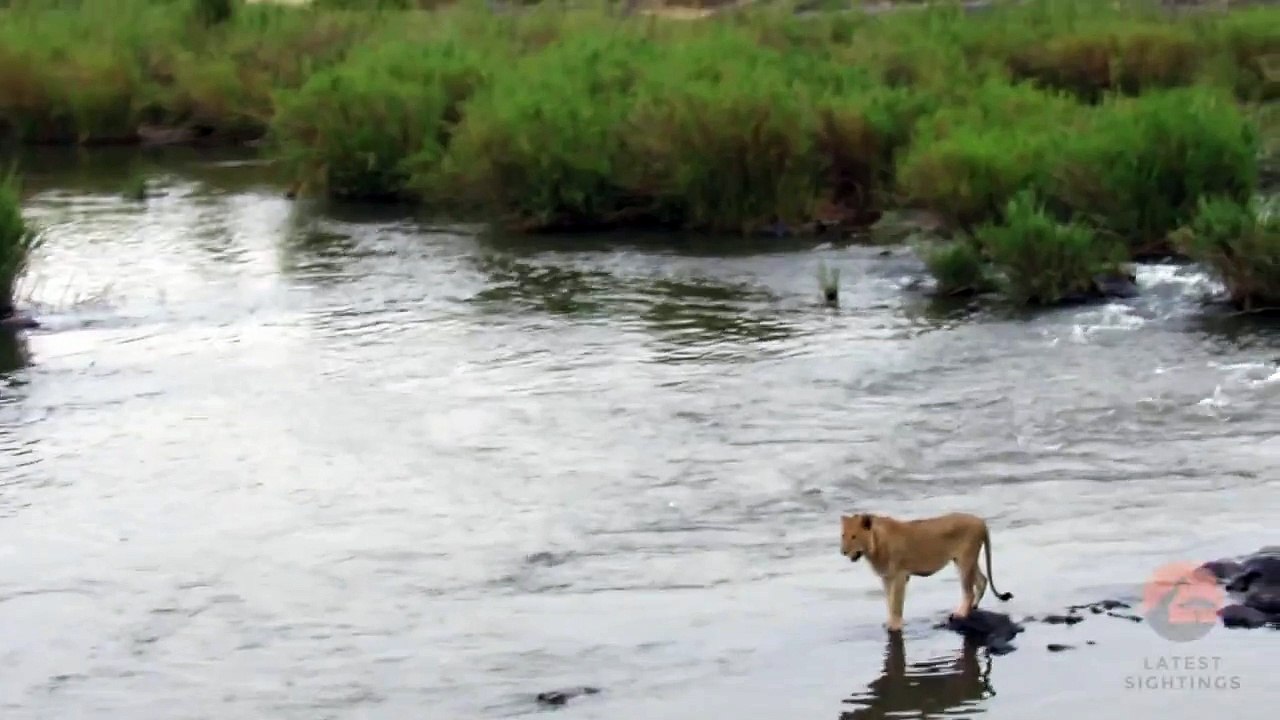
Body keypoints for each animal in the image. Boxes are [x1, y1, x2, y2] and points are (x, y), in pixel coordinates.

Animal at [840, 512, 1014, 633]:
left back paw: (961, 614)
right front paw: (890, 622)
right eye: (843, 535)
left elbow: (896, 603)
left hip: (966, 559)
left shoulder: (899, 576)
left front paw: (895, 626)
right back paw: (974, 607)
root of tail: (981, 521)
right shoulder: (887, 577)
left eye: (854, 536)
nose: (843, 551)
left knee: (969, 591)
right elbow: (889, 601)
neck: (874, 546)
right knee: (982, 581)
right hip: (963, 561)